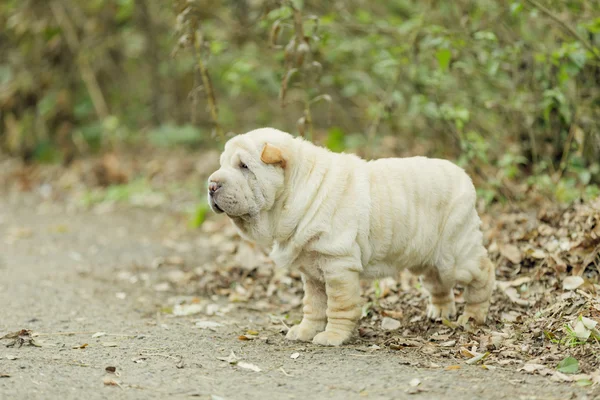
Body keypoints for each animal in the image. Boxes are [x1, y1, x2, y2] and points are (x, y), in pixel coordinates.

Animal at [209, 129, 494, 346]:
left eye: (244, 166)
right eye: (222, 164)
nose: (211, 185)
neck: (294, 193)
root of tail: (465, 176)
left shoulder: (338, 264)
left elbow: (338, 305)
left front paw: (332, 337)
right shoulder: (311, 271)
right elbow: (313, 305)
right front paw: (305, 331)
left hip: (454, 254)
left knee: (483, 272)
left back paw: (473, 316)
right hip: (425, 259)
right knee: (438, 284)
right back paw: (441, 311)